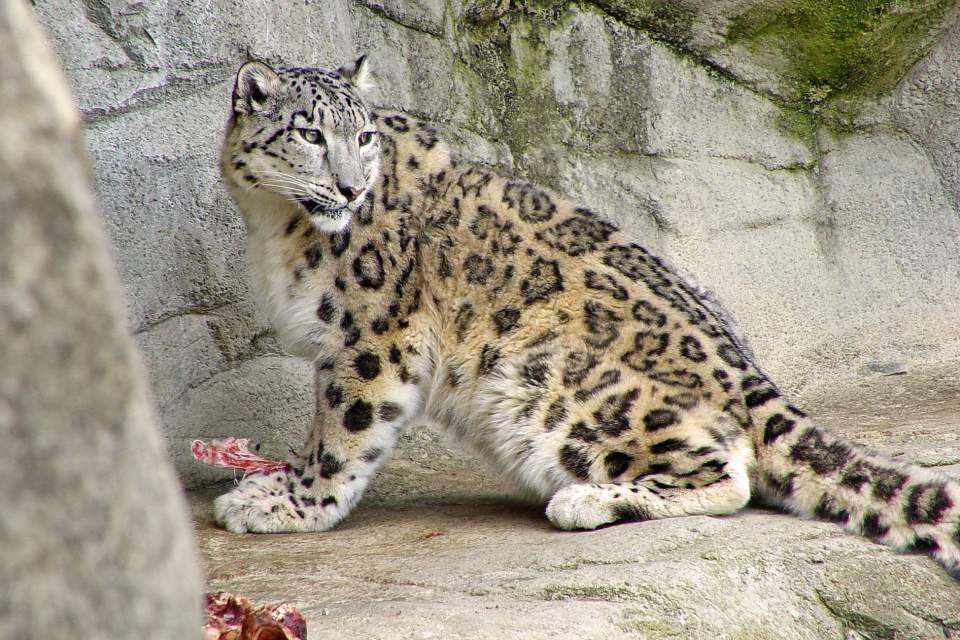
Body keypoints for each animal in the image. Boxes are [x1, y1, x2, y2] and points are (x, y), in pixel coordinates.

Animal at [216, 55, 960, 577]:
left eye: (364, 134)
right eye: (310, 133)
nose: (348, 187)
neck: (275, 225)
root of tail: (748, 371)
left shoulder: (369, 336)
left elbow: (342, 432)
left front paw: (287, 505)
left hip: (548, 387)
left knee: (726, 473)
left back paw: (589, 499)